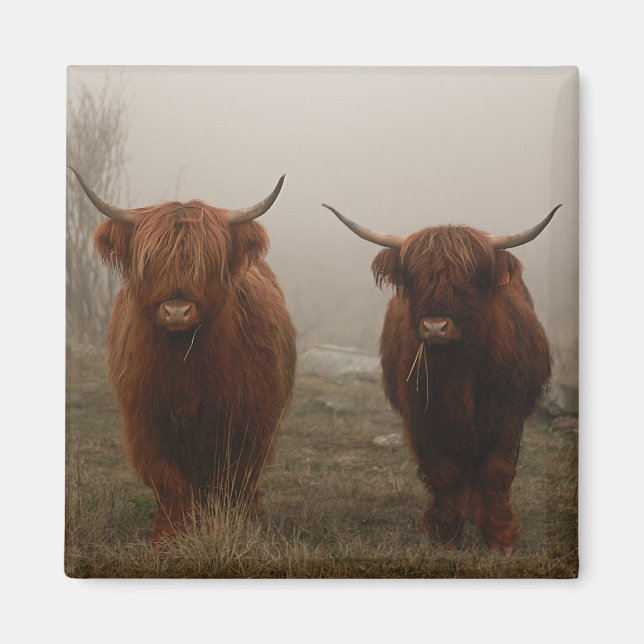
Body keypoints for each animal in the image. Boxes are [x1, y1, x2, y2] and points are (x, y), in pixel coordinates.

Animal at [68, 166, 296, 539]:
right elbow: (168, 482)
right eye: (150, 261)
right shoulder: (146, 422)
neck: (185, 364)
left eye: (207, 263)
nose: (177, 311)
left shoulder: (250, 422)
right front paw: (168, 537)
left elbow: (235, 480)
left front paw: (238, 526)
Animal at [322, 202, 560, 554]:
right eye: (415, 278)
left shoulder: (505, 416)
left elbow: (495, 472)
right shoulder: (426, 417)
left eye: (471, 278)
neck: (459, 370)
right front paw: (445, 536)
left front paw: (500, 539)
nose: (435, 326)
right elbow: (444, 473)